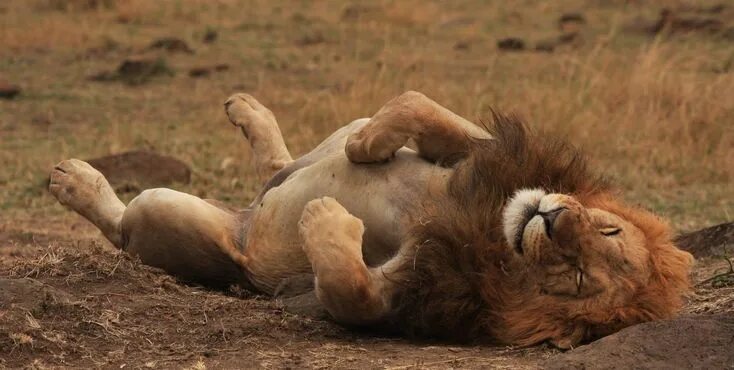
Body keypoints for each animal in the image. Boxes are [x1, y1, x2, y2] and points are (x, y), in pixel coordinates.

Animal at [50, 91, 696, 348]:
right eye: (608, 230)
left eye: (580, 279)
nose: (556, 218)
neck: (493, 233)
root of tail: (244, 215)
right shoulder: (479, 160)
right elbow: (420, 108)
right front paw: (366, 149)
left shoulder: (407, 294)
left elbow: (348, 288)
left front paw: (327, 220)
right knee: (283, 164)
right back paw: (248, 110)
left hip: (171, 216)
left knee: (124, 224)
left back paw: (72, 179)